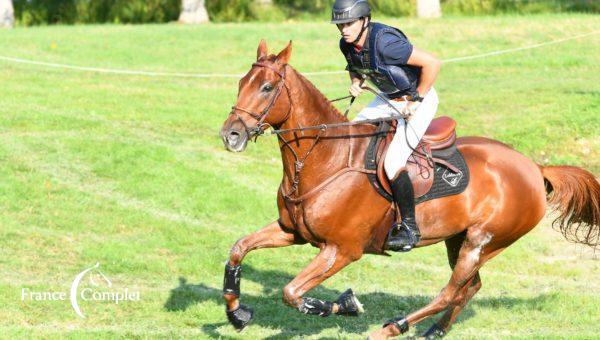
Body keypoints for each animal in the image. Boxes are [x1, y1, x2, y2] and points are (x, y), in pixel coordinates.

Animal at [218, 39, 596, 338]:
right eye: (241, 82)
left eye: (267, 88)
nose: (230, 135)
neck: (326, 158)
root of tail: (535, 167)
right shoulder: (292, 231)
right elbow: (238, 250)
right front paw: (237, 314)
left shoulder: (341, 250)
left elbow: (292, 292)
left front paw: (347, 303)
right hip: (458, 239)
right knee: (469, 287)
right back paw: (433, 331)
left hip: (483, 242)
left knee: (450, 292)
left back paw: (391, 328)